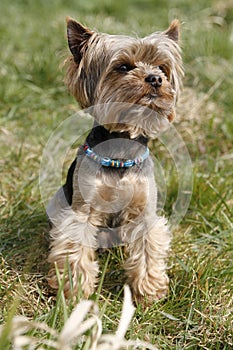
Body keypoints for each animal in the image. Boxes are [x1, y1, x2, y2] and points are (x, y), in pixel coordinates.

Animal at [46, 17, 183, 302]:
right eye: (123, 67)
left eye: (162, 67)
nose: (156, 78)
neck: (121, 149)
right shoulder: (83, 210)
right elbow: (75, 247)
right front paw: (75, 292)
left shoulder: (144, 210)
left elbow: (147, 248)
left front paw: (148, 291)